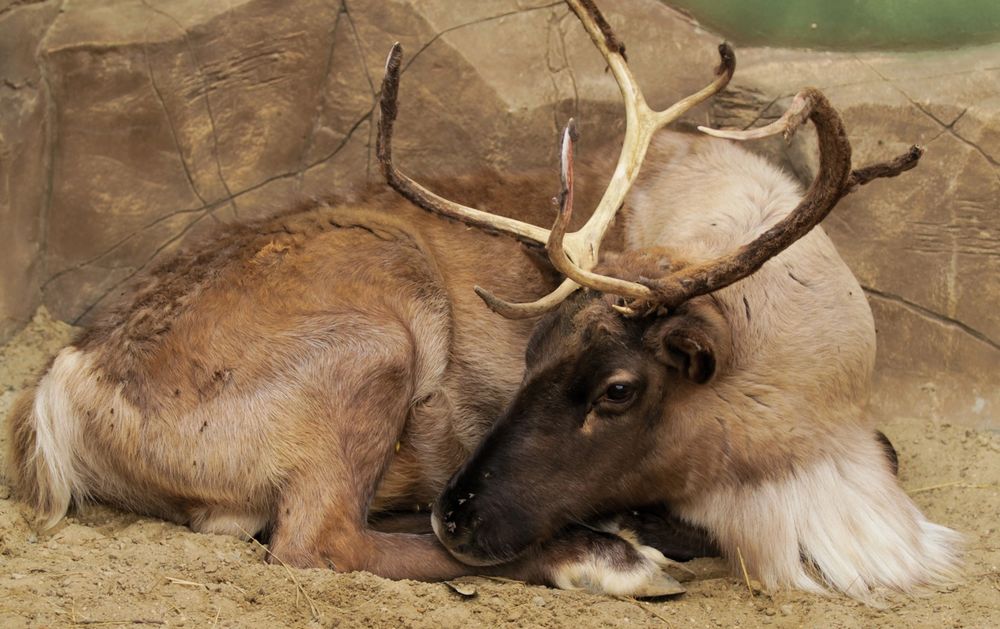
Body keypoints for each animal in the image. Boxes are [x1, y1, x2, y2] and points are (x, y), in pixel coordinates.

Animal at [5, 0, 959, 601]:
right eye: (529, 352)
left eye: (618, 388)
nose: (456, 515)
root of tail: (66, 379)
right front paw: (628, 535)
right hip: (379, 336)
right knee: (317, 537)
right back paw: (601, 558)